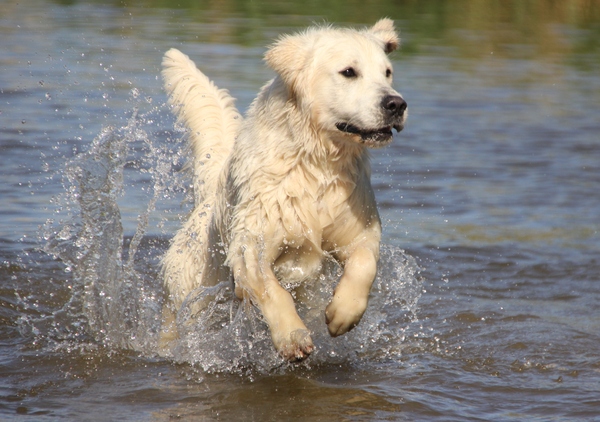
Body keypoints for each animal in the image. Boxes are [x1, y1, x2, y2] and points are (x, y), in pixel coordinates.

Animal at [158, 19, 408, 362]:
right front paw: (292, 336)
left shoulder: (358, 224)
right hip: (189, 293)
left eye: (387, 72)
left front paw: (343, 313)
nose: (396, 104)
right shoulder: (254, 238)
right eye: (349, 72)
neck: (318, 162)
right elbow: (269, 287)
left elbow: (364, 263)